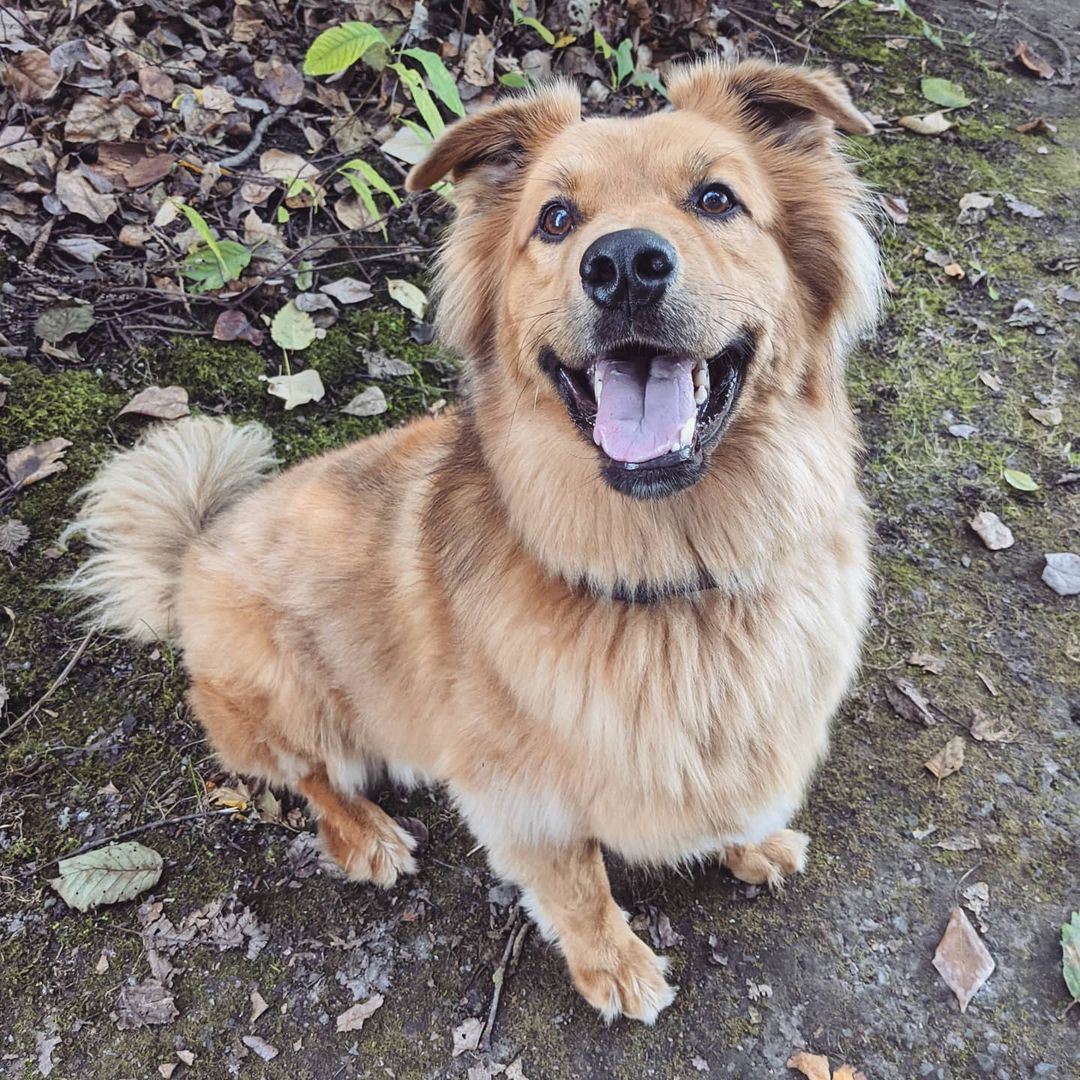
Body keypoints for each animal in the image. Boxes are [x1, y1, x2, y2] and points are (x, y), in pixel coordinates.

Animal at [65, 56, 876, 1019]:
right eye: (555, 220)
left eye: (717, 198)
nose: (624, 265)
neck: (668, 578)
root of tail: (193, 550)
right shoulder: (523, 802)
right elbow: (578, 887)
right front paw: (613, 963)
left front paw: (753, 842)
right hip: (290, 696)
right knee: (307, 778)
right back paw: (366, 832)